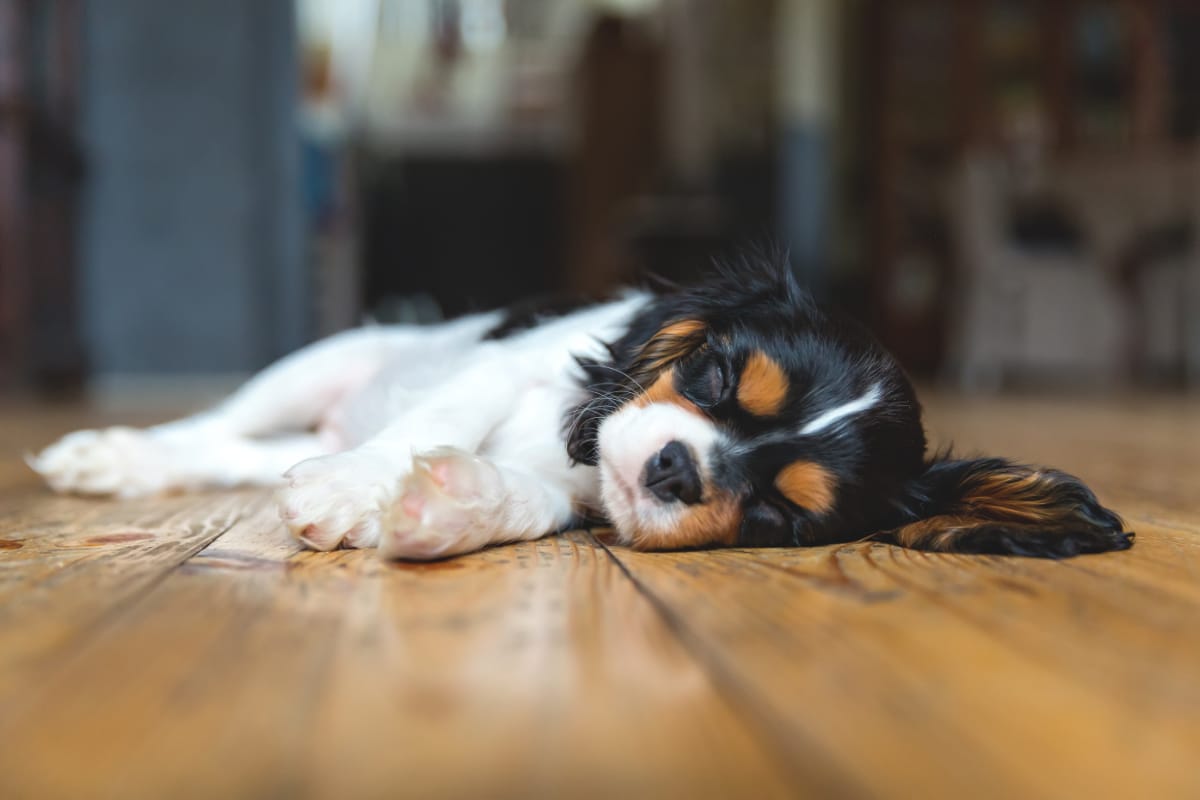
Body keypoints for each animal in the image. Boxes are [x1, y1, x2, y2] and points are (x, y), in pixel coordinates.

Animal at [28, 253, 1132, 561]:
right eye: (714, 379)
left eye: (781, 513)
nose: (677, 468)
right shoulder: (503, 366)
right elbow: (425, 427)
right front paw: (349, 492)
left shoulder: (576, 491)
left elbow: (526, 497)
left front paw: (445, 508)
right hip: (321, 361)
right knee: (211, 428)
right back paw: (119, 455)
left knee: (237, 454)